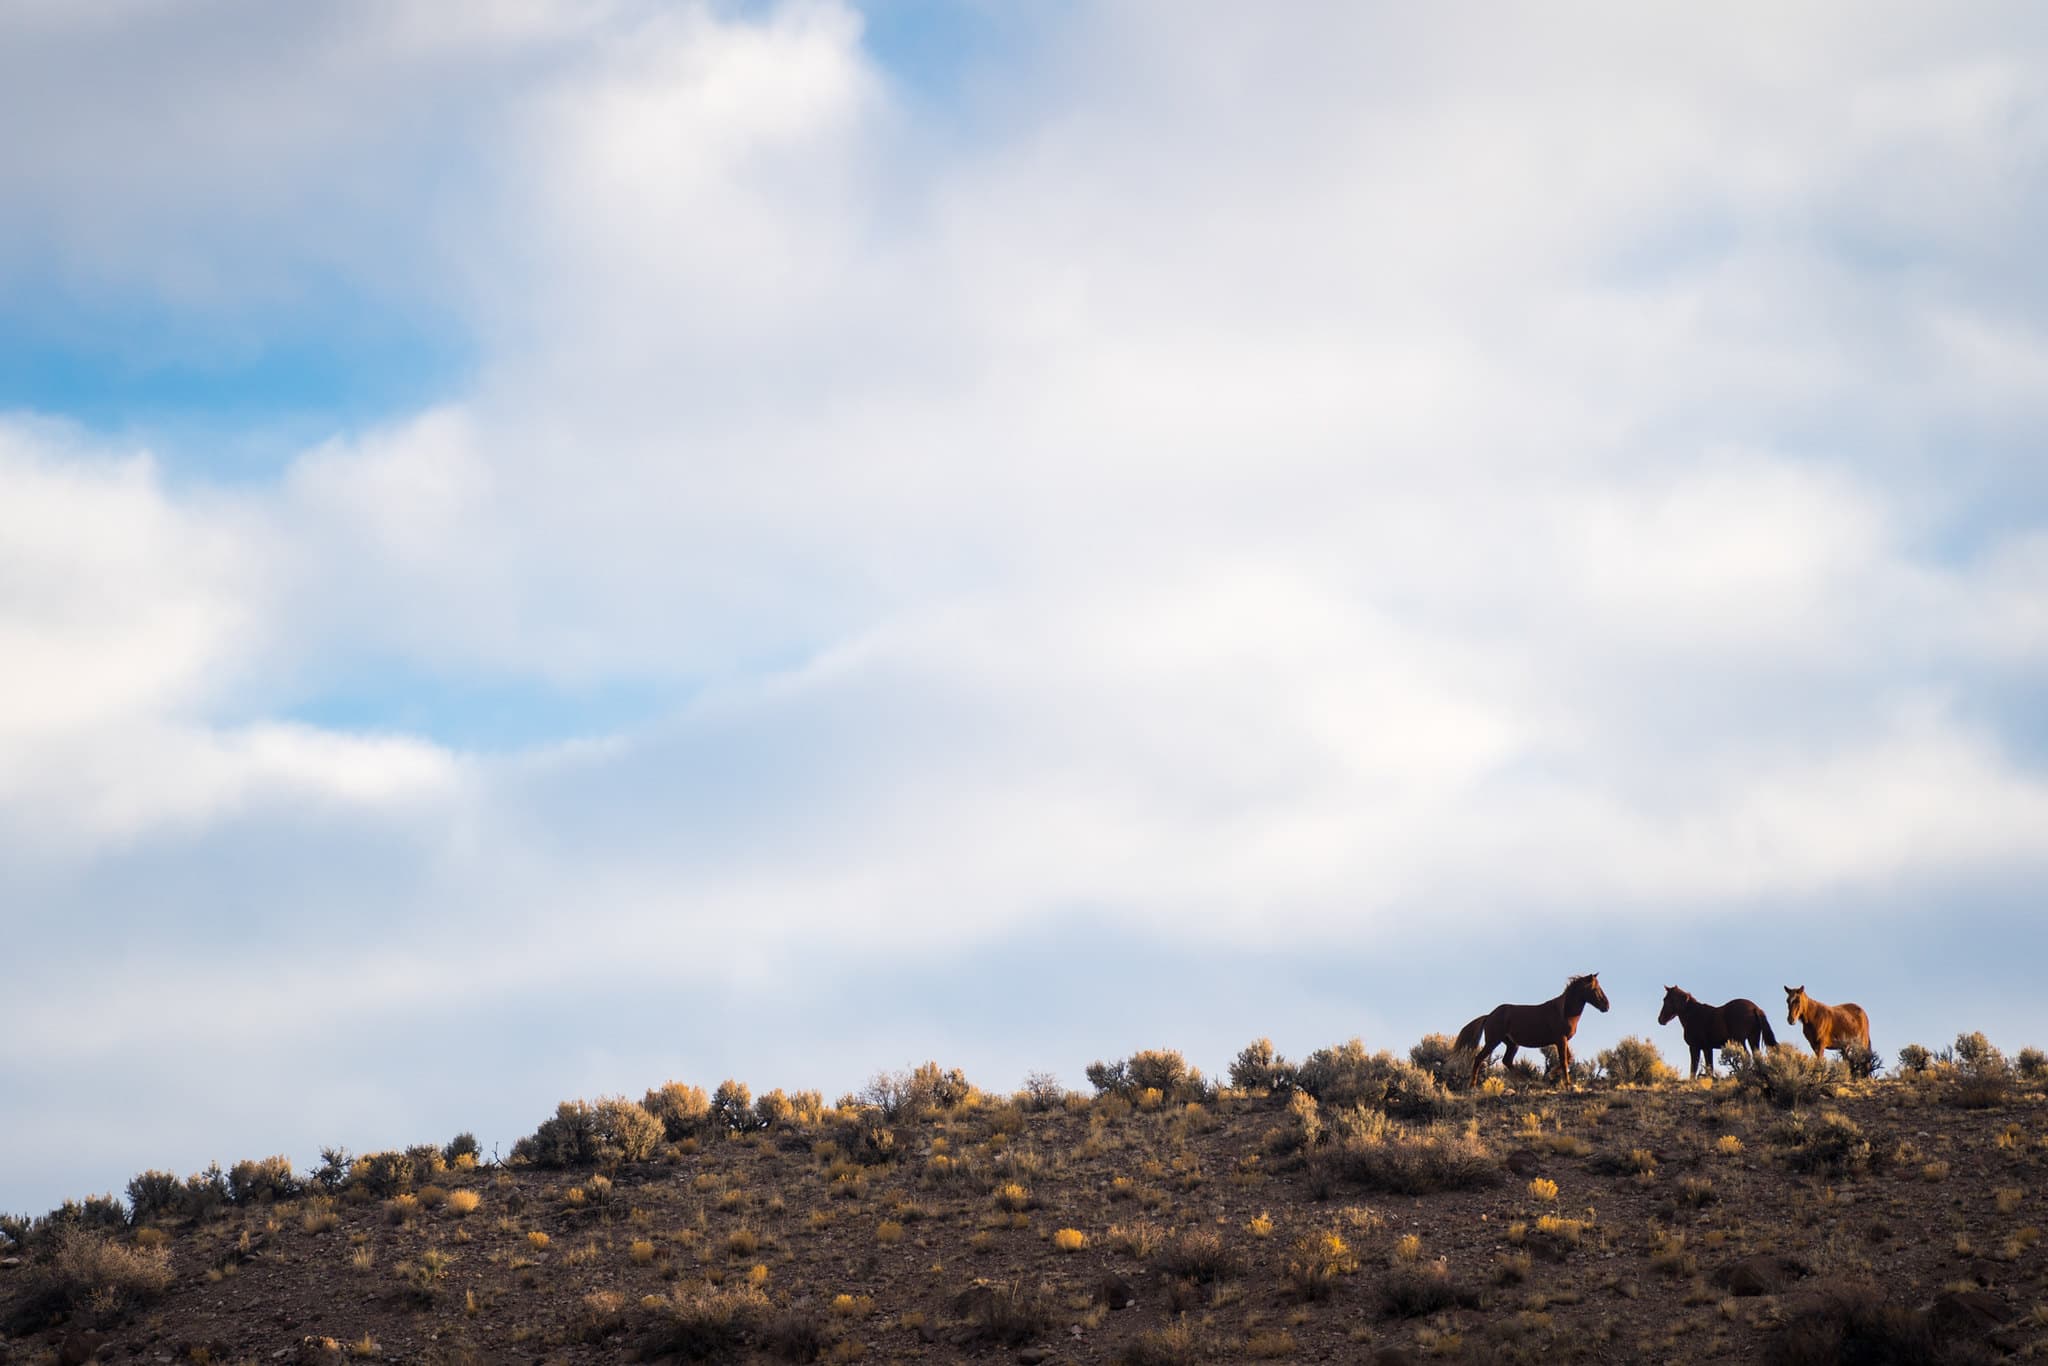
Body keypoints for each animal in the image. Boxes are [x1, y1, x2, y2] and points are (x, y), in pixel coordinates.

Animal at [1453, 973, 1610, 1089]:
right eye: (1595, 988)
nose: (1606, 1006)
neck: (1563, 1012)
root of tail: (1489, 1015)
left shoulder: (1563, 1040)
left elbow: (1569, 1058)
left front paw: (1550, 1075)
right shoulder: (1560, 1039)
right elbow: (1564, 1061)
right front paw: (1566, 1084)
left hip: (1512, 1044)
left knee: (1506, 1061)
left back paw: (1526, 1080)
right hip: (1493, 1041)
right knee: (1479, 1058)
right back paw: (1472, 1085)